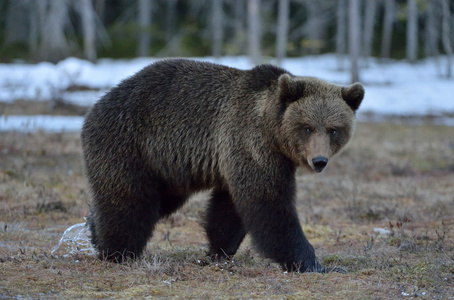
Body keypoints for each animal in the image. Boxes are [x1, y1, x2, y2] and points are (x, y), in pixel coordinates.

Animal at [80, 58, 366, 272]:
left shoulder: (236, 158)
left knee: (158, 202)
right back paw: (116, 251)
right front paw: (312, 262)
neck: (272, 131)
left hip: (166, 170)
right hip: (129, 144)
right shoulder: (250, 143)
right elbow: (270, 205)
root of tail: (95, 107)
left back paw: (94, 229)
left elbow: (229, 210)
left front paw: (219, 251)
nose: (319, 161)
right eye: (307, 127)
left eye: (333, 129)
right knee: (130, 201)